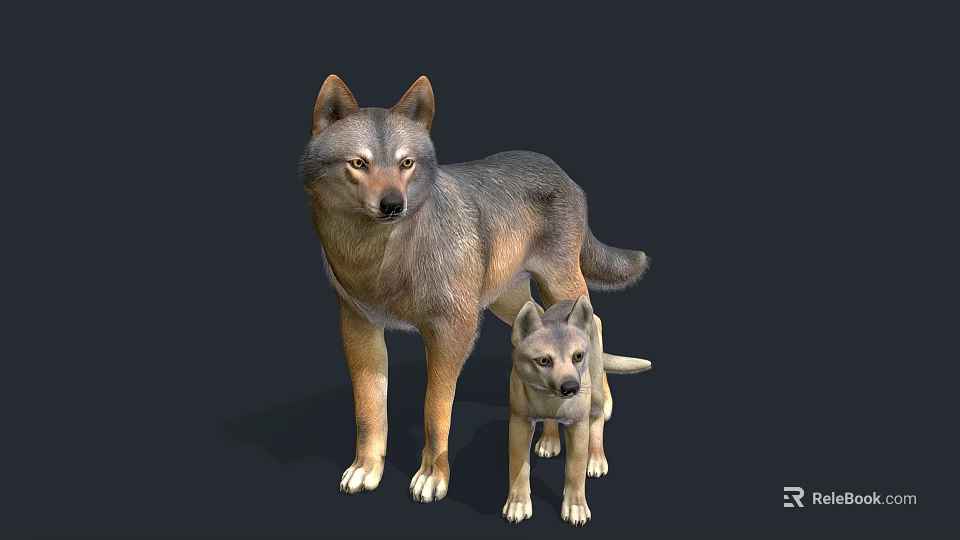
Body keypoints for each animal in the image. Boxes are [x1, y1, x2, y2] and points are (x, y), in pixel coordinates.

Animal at [299, 75, 649, 503]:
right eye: (359, 163)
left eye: (405, 163)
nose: (393, 205)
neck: (380, 259)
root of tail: (563, 173)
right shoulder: (358, 329)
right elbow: (369, 411)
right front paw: (366, 469)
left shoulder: (452, 331)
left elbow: (435, 410)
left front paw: (432, 477)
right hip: (510, 304)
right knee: (547, 328)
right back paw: (550, 438)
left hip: (560, 284)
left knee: (593, 323)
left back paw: (595, 443)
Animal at [504, 296, 650, 526]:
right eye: (544, 360)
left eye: (578, 356)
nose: (571, 387)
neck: (549, 401)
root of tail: (568, 301)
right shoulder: (519, 421)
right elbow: (518, 466)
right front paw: (517, 503)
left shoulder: (579, 425)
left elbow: (575, 469)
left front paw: (575, 507)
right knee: (551, 422)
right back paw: (549, 440)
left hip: (597, 394)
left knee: (597, 420)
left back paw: (597, 458)